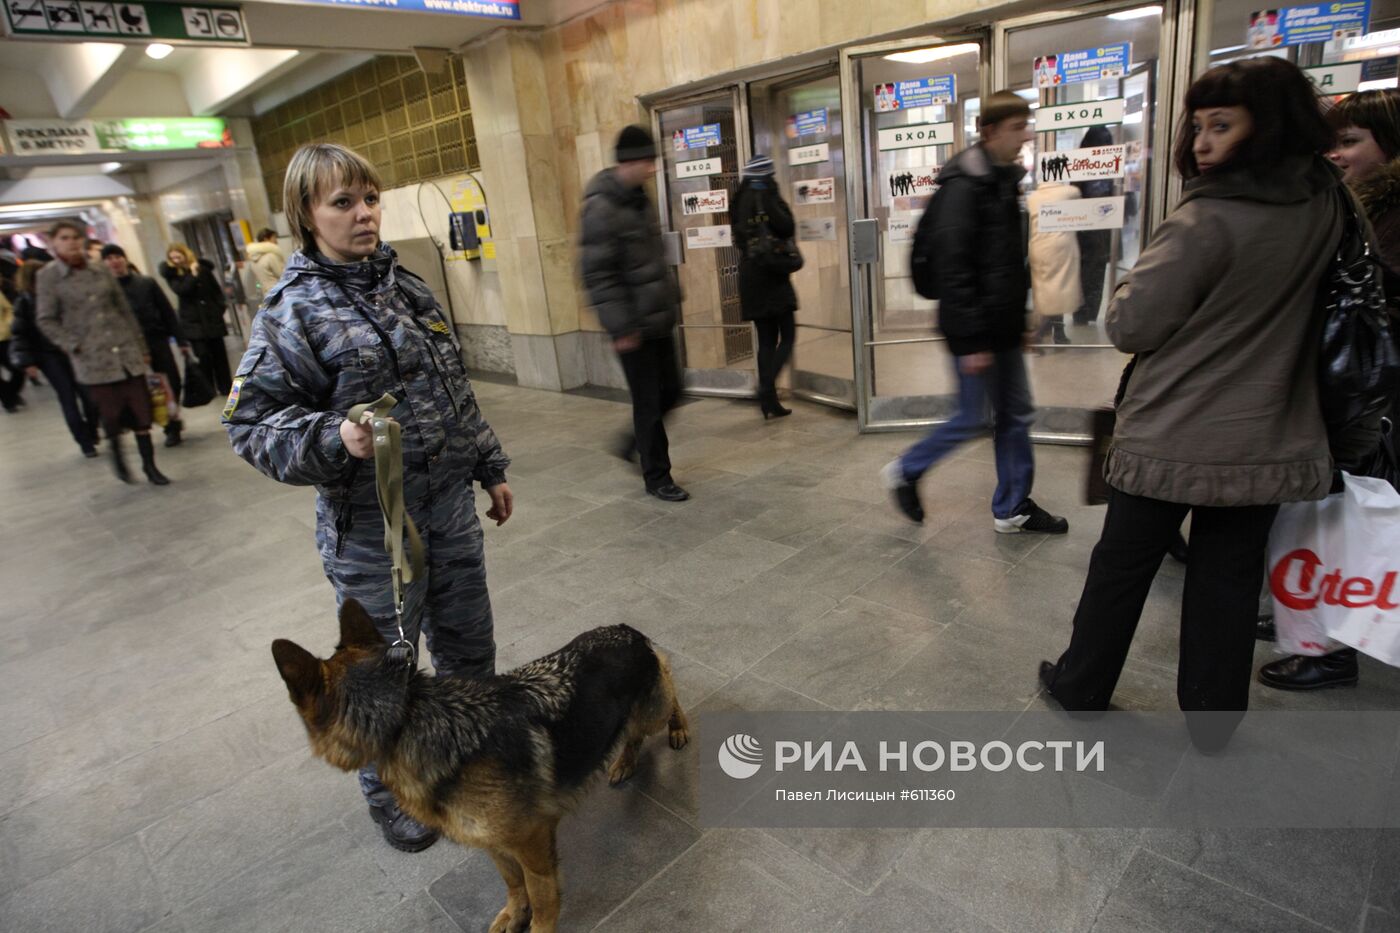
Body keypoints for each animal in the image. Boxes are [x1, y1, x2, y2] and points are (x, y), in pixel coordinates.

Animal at [270, 599, 691, 924]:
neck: (406, 718)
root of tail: (625, 629)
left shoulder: (533, 844)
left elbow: (542, 899)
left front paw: (537, 925)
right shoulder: (493, 842)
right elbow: (513, 883)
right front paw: (514, 914)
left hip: (653, 707)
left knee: (670, 686)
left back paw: (678, 728)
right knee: (634, 728)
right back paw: (624, 759)